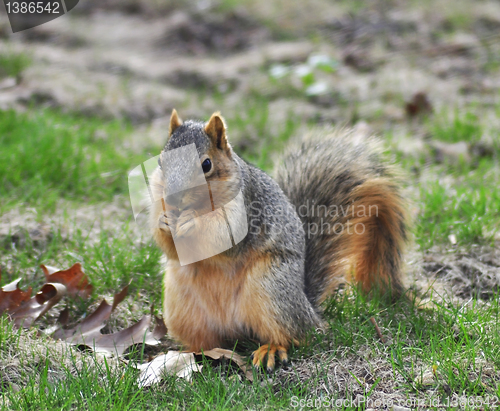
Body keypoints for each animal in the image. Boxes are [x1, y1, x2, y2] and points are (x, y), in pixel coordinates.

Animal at [150, 109, 408, 374]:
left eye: (206, 164)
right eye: (161, 162)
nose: (173, 199)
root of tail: (309, 308)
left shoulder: (247, 209)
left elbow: (223, 235)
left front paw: (192, 221)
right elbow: (172, 249)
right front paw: (164, 221)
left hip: (272, 287)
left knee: (296, 334)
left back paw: (271, 349)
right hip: (182, 305)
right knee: (207, 341)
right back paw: (187, 355)